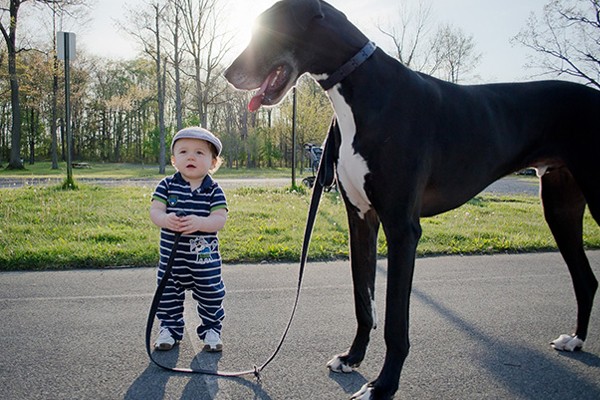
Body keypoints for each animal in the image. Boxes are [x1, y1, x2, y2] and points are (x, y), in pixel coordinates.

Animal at [225, 0, 600, 400]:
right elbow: (364, 302)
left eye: (267, 28)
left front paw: (383, 385)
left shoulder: (402, 228)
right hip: (559, 206)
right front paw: (353, 357)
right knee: (585, 279)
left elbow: (394, 322)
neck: (362, 89)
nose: (228, 74)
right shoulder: (360, 220)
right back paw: (576, 340)